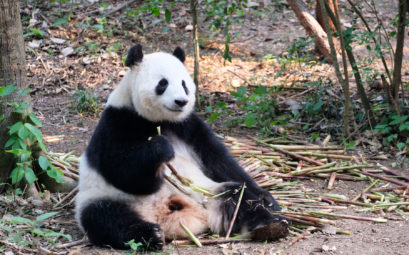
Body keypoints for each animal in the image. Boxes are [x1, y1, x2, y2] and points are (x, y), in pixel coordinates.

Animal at [75, 43, 286, 249]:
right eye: (163, 83)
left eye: (184, 84)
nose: (181, 101)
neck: (158, 120)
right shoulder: (117, 122)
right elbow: (123, 171)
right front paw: (161, 149)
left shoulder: (187, 126)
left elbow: (218, 160)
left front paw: (267, 199)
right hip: (104, 199)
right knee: (105, 218)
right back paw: (151, 234)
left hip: (208, 193)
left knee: (237, 195)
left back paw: (269, 225)